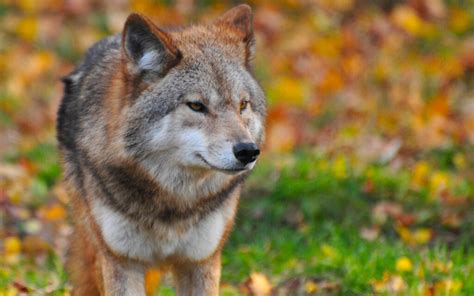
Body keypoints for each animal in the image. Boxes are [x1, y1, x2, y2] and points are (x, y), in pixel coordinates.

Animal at [57, 4, 264, 296]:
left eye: (243, 105)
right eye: (196, 106)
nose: (247, 151)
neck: (173, 202)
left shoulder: (201, 261)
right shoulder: (121, 261)